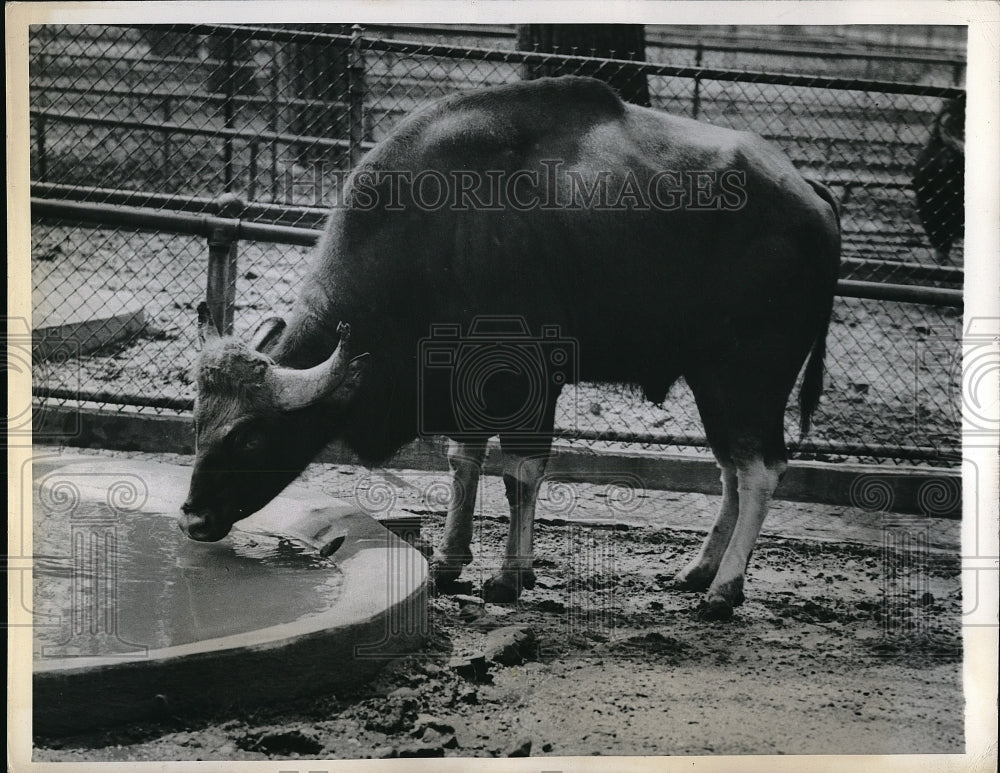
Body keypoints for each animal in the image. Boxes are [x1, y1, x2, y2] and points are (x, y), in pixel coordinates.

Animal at [182, 77, 844, 620]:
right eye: (198, 423)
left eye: (250, 436)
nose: (191, 517)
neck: (440, 235)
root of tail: (807, 189)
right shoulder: (460, 379)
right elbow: (465, 461)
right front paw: (449, 563)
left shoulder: (525, 381)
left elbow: (520, 472)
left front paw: (509, 577)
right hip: (712, 379)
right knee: (731, 468)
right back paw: (697, 571)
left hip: (750, 375)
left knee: (760, 469)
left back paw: (723, 592)